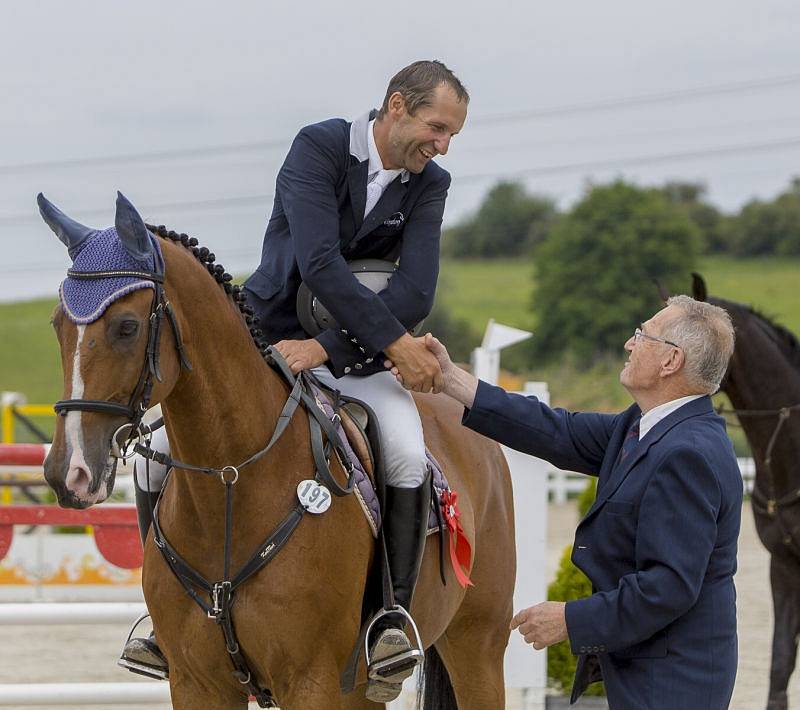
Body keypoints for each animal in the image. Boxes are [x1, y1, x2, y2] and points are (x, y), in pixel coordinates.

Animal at [39, 192, 520, 708]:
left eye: (127, 327)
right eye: (57, 325)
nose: (69, 473)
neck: (231, 480)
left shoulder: (311, 680)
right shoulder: (196, 682)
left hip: (477, 645)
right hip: (365, 688)